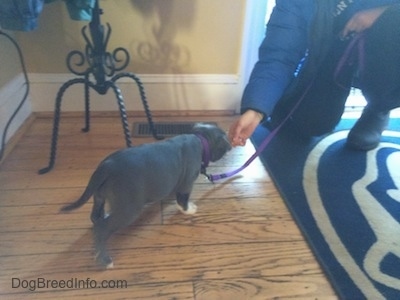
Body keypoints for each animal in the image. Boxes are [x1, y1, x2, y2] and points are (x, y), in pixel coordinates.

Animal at [61, 123, 233, 268]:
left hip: (99, 196)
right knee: (102, 229)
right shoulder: (186, 183)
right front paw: (187, 209)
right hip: (129, 209)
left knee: (95, 217)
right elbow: (183, 198)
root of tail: (106, 166)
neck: (200, 138)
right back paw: (104, 260)